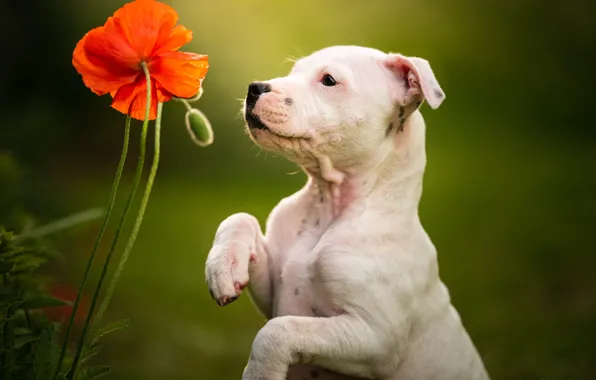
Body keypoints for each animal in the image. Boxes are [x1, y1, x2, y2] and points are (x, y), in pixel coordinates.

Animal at [205, 45, 488, 380]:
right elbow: (239, 218)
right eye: (293, 72)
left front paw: (261, 372)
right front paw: (224, 269)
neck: (326, 207)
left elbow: (279, 331)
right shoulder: (272, 290)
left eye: (329, 80)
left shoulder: (375, 340)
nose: (254, 88)